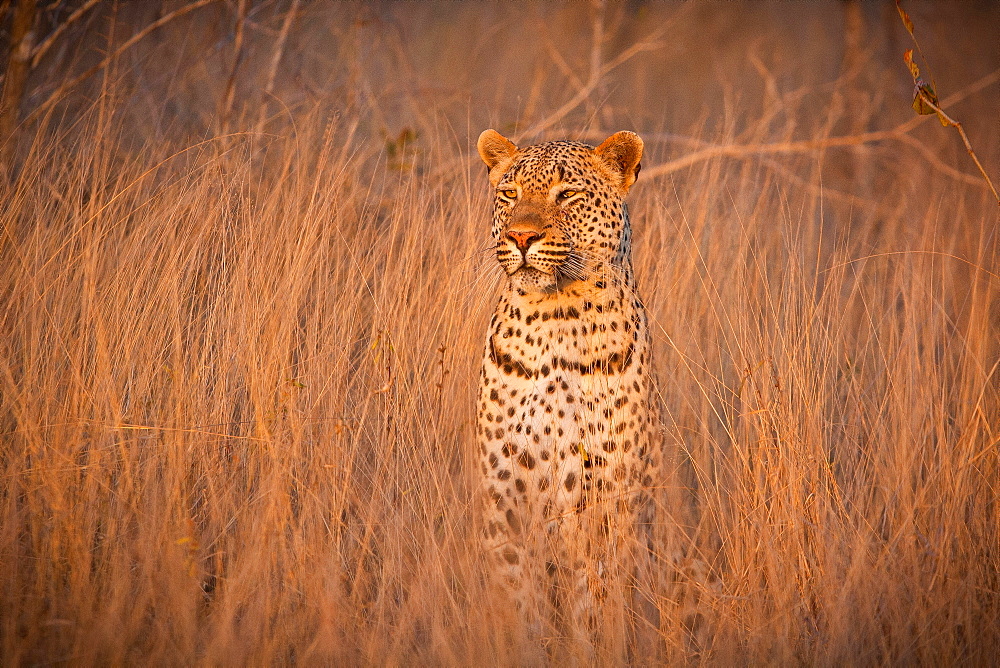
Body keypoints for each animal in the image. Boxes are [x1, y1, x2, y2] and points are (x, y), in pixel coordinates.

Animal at [472, 128, 660, 656]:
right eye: (509, 194)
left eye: (567, 195)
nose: (521, 236)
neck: (556, 318)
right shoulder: (505, 491)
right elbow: (519, 596)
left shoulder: (607, 495)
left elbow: (595, 600)